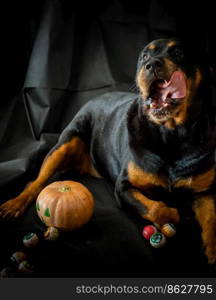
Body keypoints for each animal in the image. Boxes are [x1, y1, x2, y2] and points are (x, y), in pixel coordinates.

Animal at [0, 38, 216, 264]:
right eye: (144, 57)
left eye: (178, 52)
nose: (152, 64)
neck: (171, 135)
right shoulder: (123, 186)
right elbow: (155, 208)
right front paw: (174, 215)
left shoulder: (205, 191)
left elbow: (211, 220)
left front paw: (212, 251)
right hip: (65, 142)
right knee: (36, 181)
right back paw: (14, 204)